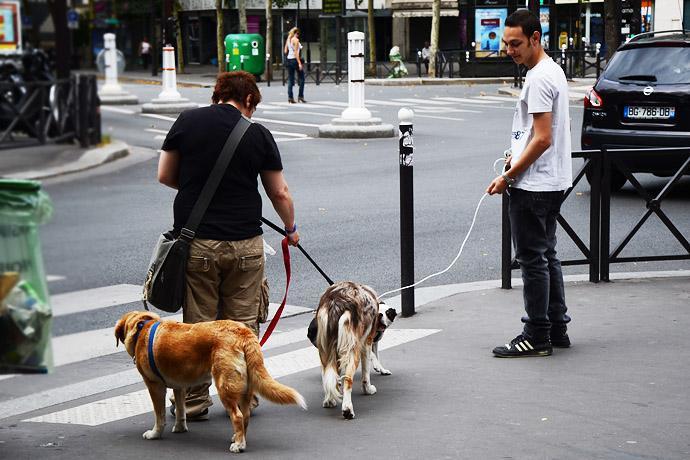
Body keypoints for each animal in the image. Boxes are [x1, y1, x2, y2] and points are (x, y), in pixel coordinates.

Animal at [308, 282, 398, 418]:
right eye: (382, 315)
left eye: (388, 314)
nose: (381, 318)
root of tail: (336, 300)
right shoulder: (366, 343)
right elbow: (366, 372)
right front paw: (368, 389)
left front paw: (381, 369)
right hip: (352, 351)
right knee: (348, 380)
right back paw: (347, 409)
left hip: (325, 350)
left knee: (327, 375)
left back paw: (329, 400)